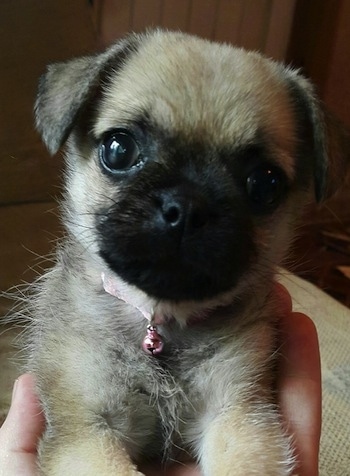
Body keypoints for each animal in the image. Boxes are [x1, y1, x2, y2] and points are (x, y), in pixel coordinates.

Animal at [18, 29, 348, 476]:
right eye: (118, 149)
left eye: (265, 184)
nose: (187, 207)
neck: (158, 323)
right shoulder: (86, 432)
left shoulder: (238, 418)